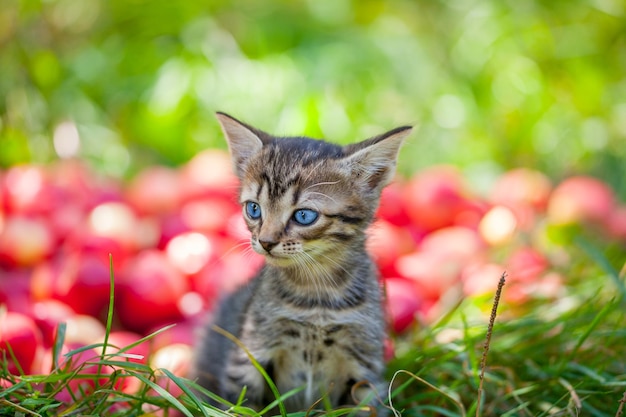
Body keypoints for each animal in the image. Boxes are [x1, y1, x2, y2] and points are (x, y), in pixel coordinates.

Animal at [193, 112, 412, 412]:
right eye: (254, 209)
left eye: (304, 216)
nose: (266, 241)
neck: (315, 291)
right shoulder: (250, 354)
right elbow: (242, 405)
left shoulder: (364, 368)